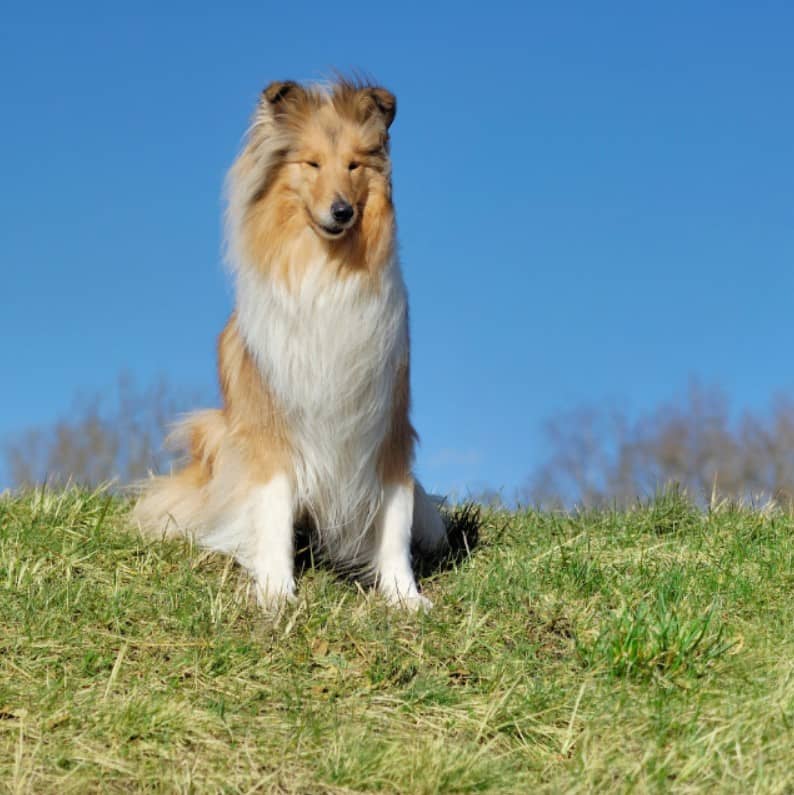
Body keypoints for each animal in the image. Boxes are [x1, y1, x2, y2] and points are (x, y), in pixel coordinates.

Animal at [133, 76, 448, 608]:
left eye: (354, 165)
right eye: (311, 163)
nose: (342, 211)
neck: (328, 270)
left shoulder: (385, 422)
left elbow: (395, 519)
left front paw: (405, 596)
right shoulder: (272, 429)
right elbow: (274, 512)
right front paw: (277, 592)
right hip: (218, 433)